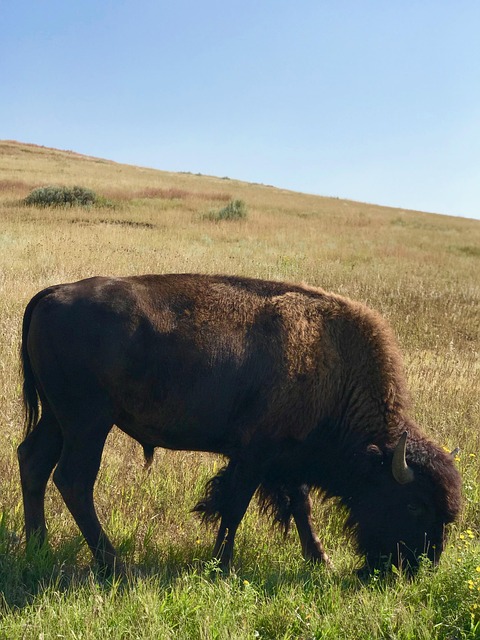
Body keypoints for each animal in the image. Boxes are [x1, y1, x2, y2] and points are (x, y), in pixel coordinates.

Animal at [18, 274, 461, 574]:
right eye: (415, 504)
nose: (416, 568)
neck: (333, 366)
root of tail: (53, 293)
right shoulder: (254, 455)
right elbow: (234, 507)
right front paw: (221, 565)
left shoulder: (286, 459)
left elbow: (299, 505)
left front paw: (320, 559)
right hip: (88, 423)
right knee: (73, 480)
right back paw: (116, 565)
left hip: (59, 420)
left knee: (33, 462)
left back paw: (39, 547)